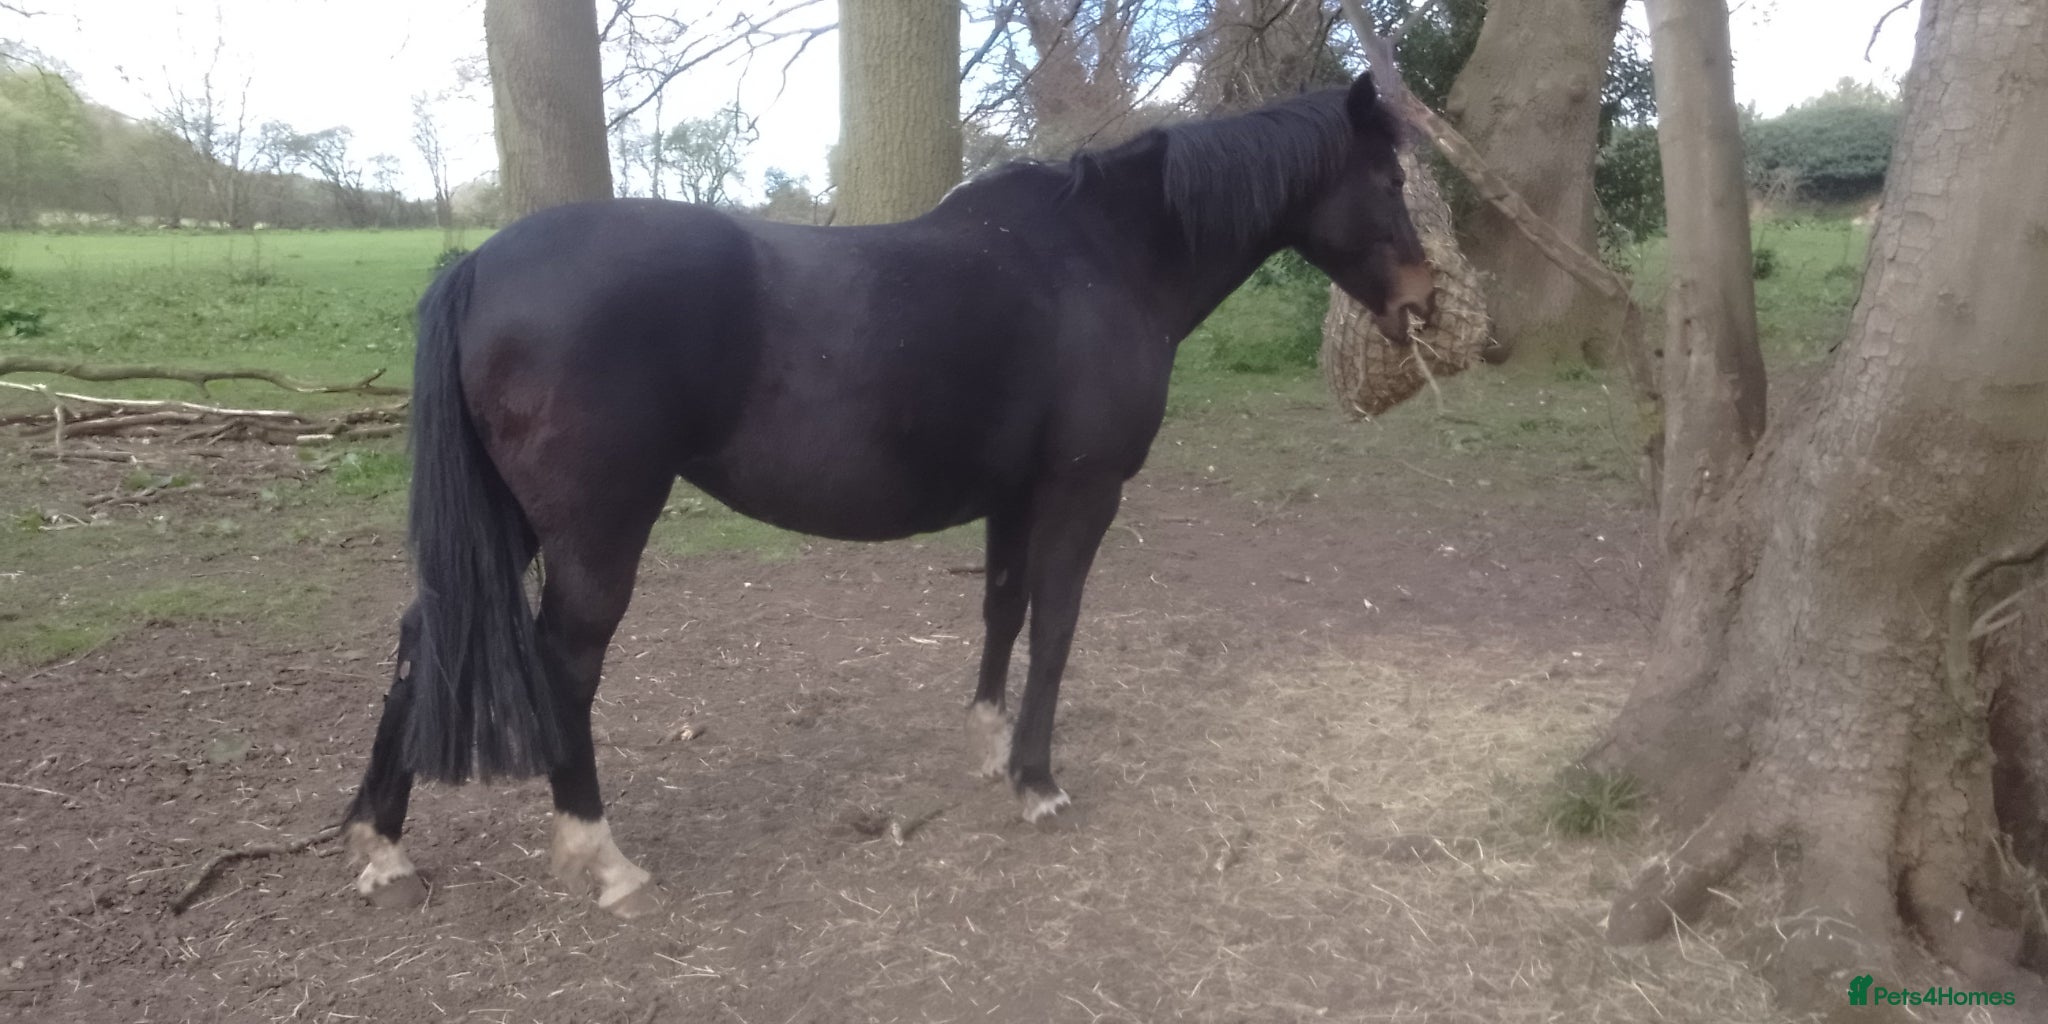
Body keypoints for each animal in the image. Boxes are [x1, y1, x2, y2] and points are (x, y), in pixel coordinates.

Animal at [340, 73, 1436, 917]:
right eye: (1389, 179)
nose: (1424, 299)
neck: (1098, 258)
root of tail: (480, 265)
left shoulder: (1014, 495)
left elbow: (1004, 607)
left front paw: (990, 746)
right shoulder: (1080, 492)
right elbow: (1058, 624)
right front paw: (1038, 782)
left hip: (510, 524)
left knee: (418, 638)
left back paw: (384, 847)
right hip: (595, 535)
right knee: (566, 664)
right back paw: (601, 859)